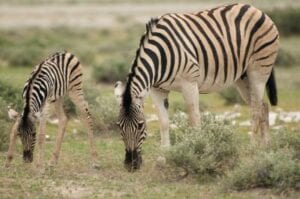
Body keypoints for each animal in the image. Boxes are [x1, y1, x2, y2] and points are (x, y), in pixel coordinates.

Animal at [114, 3, 278, 171]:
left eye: (140, 126)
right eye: (119, 126)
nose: (131, 165)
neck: (159, 59)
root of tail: (253, 8)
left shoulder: (189, 84)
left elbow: (194, 120)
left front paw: (198, 152)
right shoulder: (157, 90)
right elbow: (164, 122)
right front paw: (165, 156)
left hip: (258, 70)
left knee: (256, 110)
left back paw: (252, 148)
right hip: (242, 77)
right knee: (263, 106)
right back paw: (266, 147)